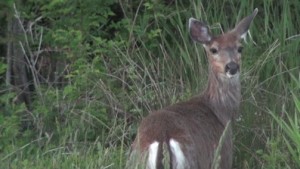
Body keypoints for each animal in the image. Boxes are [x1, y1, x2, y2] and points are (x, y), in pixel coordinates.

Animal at [126, 8, 258, 168]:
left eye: (240, 48)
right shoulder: (224, 157)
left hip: (135, 160)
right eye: (213, 49)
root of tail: (163, 138)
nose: (232, 67)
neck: (221, 111)